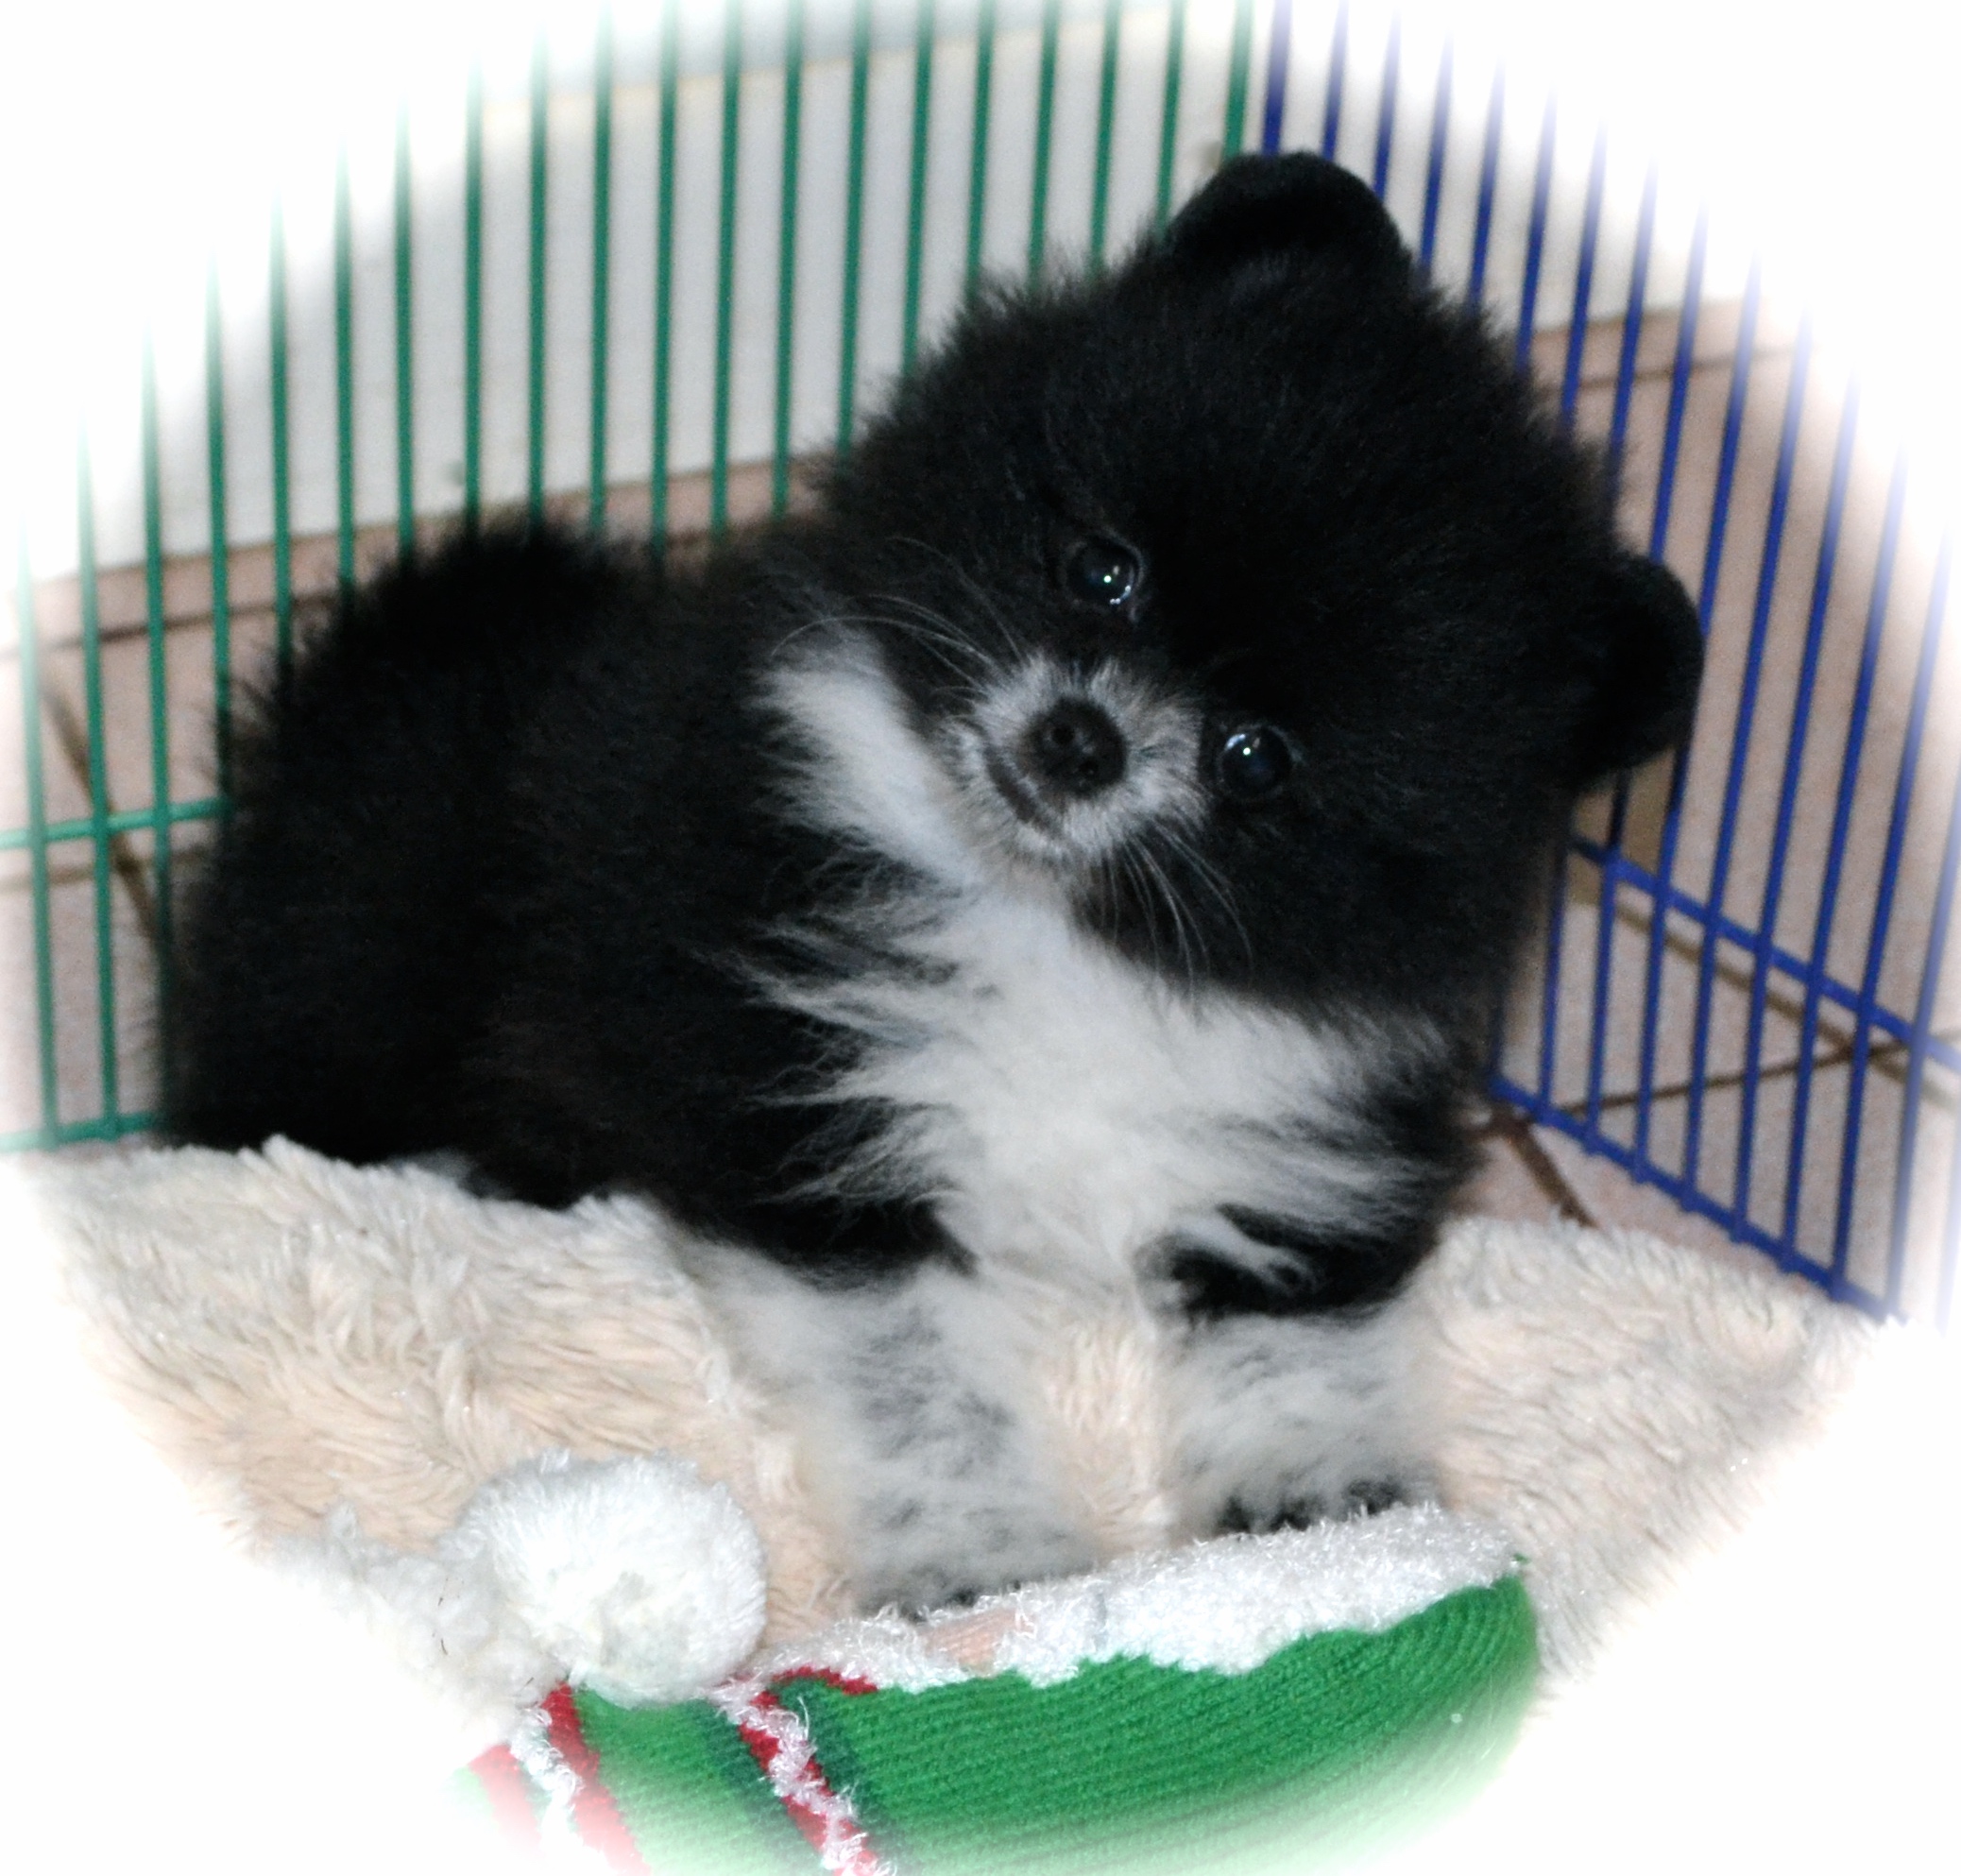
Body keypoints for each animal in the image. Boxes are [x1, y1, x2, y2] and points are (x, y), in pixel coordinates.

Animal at [167, 154, 1702, 1612]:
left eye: (1259, 757)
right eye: (1104, 570)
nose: (1078, 737)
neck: (1061, 936)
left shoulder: (1314, 1136)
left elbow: (1305, 1331)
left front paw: (1330, 1517)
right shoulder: (808, 1119)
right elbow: (924, 1381)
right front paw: (988, 1555)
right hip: (340, 998)